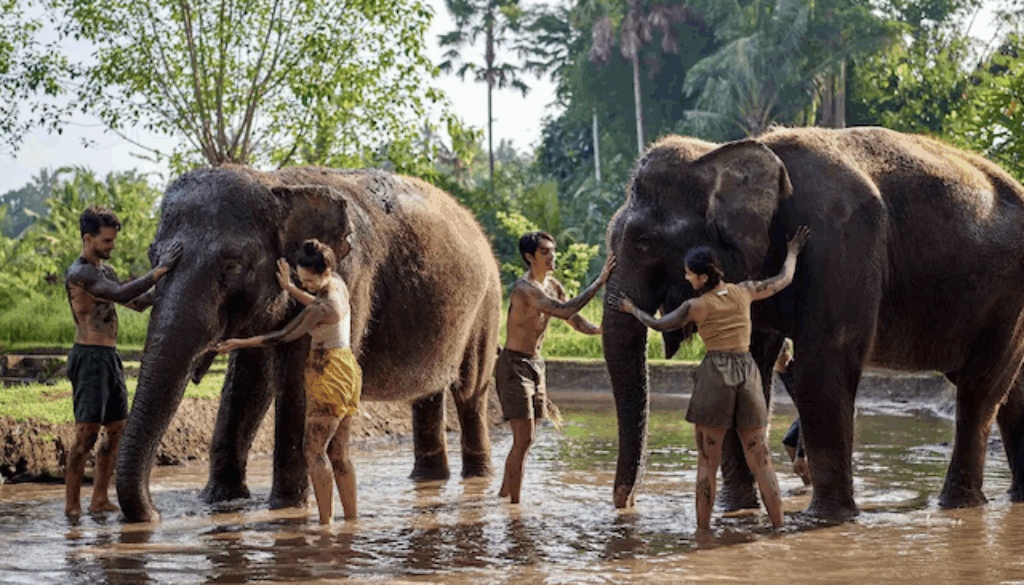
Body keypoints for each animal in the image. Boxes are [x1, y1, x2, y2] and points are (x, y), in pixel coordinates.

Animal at [116, 165, 502, 522]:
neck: (278, 184)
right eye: (152, 257)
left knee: (470, 392)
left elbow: (299, 374)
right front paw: (220, 501)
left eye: (232, 266)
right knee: (428, 395)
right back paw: (428, 480)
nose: (155, 514)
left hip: (488, 304)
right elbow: (248, 382)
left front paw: (285, 507)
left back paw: (477, 479)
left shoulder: (351, 277)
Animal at [602, 126, 1024, 520]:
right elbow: (754, 366)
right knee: (1010, 390)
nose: (627, 504)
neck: (725, 152)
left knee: (979, 389)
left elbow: (822, 366)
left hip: (1007, 298)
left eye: (644, 242)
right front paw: (737, 511)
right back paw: (1012, 498)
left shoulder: (839, 239)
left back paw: (956, 506)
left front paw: (826, 518)